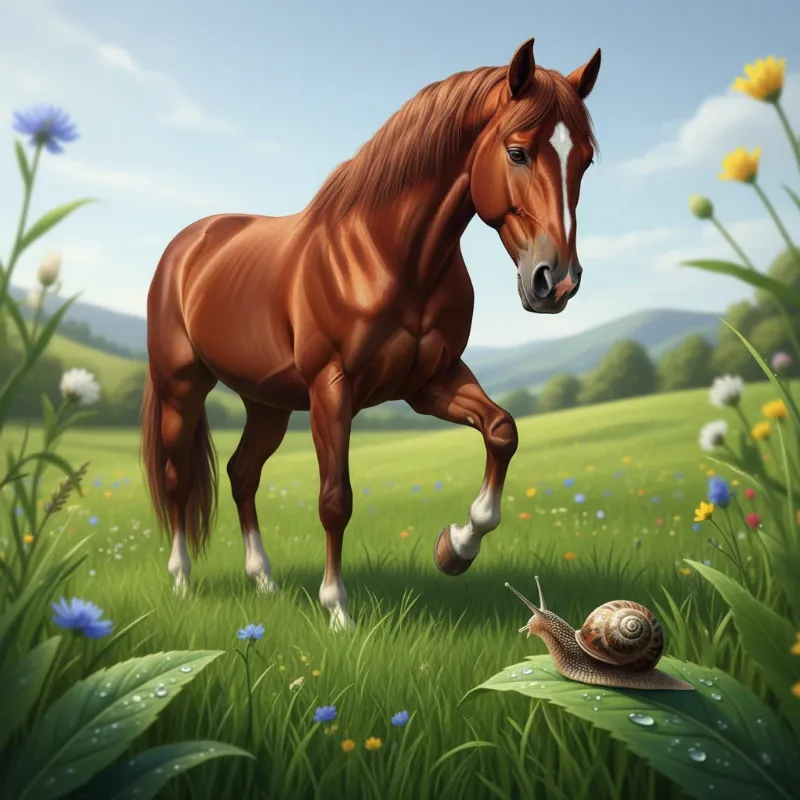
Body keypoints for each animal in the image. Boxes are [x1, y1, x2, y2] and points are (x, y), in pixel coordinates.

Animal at [141, 37, 601, 631]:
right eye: (518, 152)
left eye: (584, 159)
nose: (556, 281)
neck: (387, 256)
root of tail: (187, 244)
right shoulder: (331, 388)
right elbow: (336, 499)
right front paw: (338, 609)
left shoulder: (432, 383)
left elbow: (503, 431)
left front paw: (457, 546)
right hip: (182, 389)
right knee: (179, 478)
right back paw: (182, 580)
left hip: (266, 402)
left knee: (243, 473)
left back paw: (263, 580)